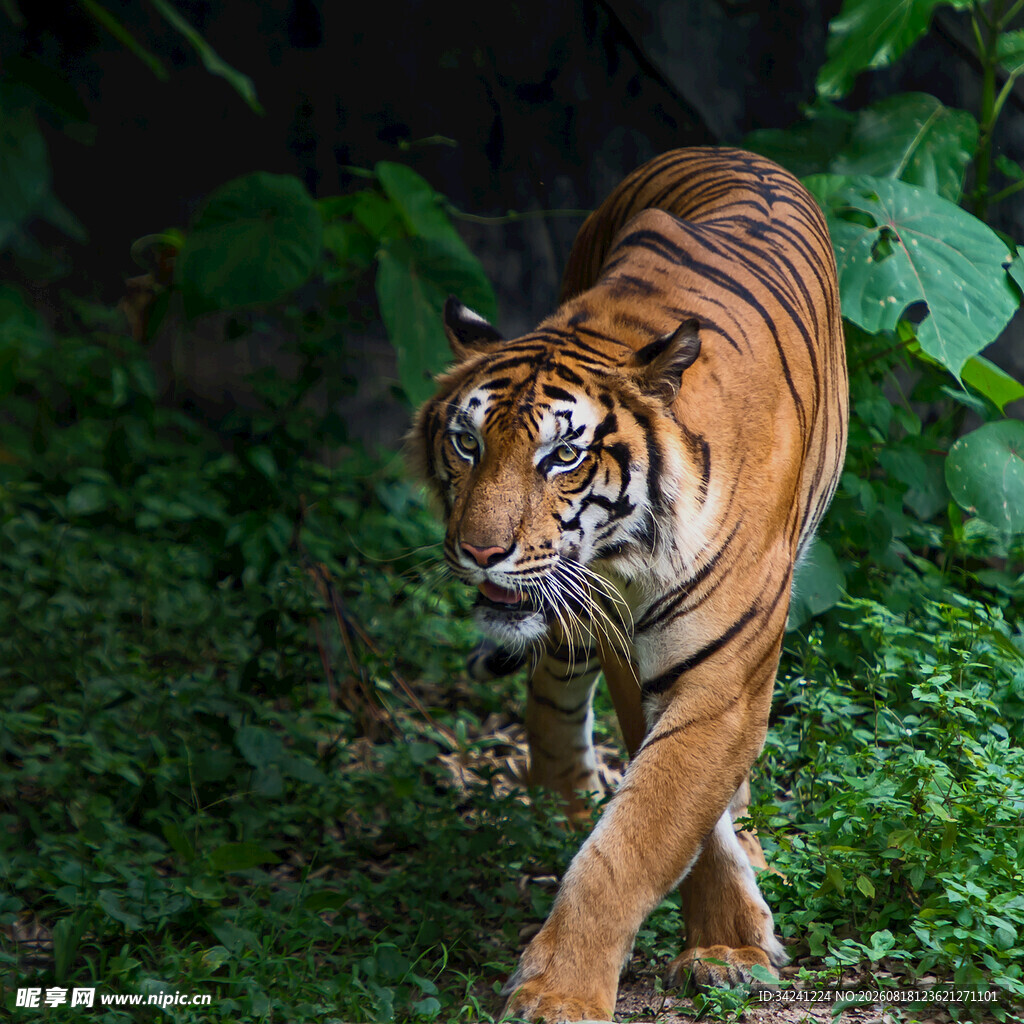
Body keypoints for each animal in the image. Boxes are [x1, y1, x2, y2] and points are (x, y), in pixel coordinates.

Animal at [410, 147, 848, 1022]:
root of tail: (727, 150)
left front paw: (565, 992)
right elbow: (665, 820)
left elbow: (637, 839)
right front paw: (725, 942)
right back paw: (564, 795)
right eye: (467, 443)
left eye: (563, 456)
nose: (479, 551)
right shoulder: (631, 651)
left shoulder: (722, 679)